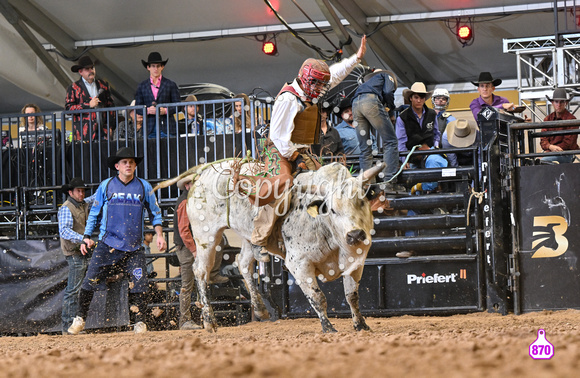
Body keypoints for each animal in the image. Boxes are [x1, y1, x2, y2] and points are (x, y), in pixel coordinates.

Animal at [155, 161, 380, 332]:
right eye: (332, 209)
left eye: (361, 201)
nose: (355, 234)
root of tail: (205, 170)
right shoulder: (299, 264)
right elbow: (318, 297)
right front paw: (328, 327)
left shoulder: (355, 262)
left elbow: (352, 296)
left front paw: (361, 325)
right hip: (206, 235)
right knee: (201, 271)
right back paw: (210, 322)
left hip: (249, 235)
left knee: (243, 263)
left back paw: (260, 309)